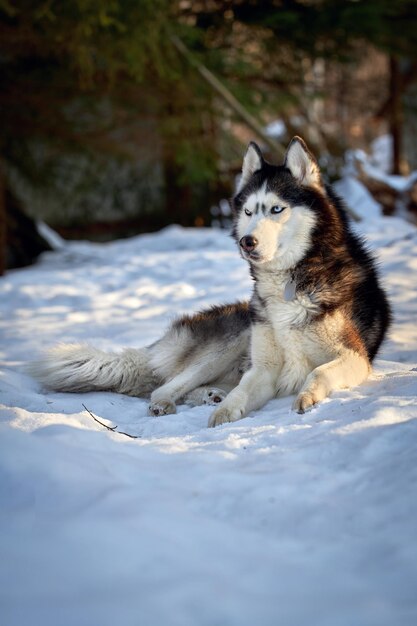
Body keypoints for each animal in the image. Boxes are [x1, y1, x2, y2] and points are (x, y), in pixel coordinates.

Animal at [30, 137, 390, 426]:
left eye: (276, 209)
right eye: (248, 212)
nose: (246, 242)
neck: (291, 280)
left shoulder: (354, 356)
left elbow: (318, 371)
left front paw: (305, 396)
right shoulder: (264, 368)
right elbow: (243, 393)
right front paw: (223, 414)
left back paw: (209, 395)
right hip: (235, 337)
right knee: (163, 387)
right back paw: (178, 401)